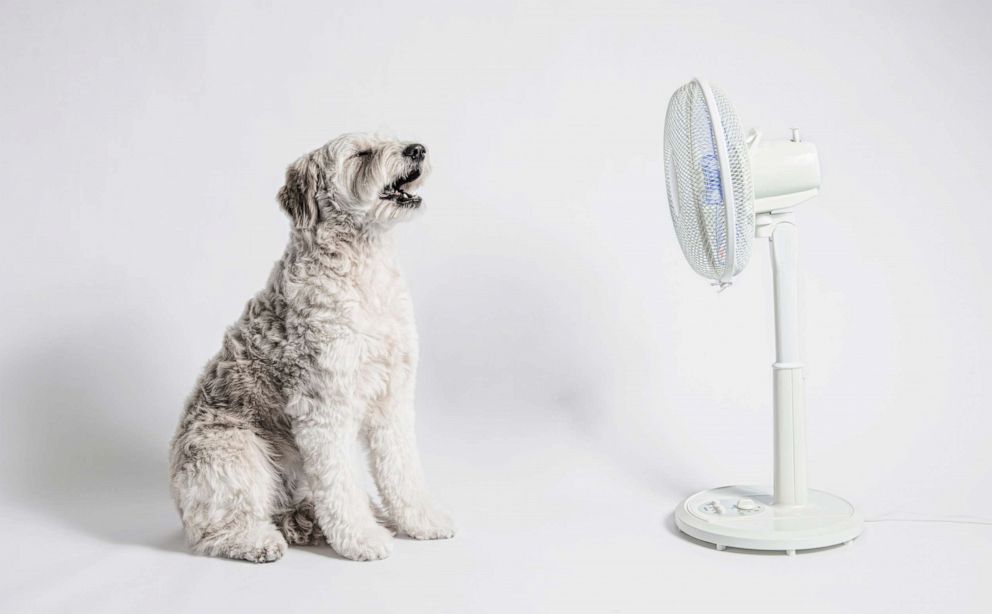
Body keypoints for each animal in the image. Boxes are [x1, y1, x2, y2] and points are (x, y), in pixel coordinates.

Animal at [171, 134, 458, 564]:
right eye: (361, 153)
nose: (417, 149)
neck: (363, 268)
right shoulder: (323, 405)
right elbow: (339, 483)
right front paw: (361, 539)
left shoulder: (393, 395)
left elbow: (401, 468)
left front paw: (422, 520)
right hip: (232, 450)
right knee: (214, 527)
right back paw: (256, 541)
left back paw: (310, 523)